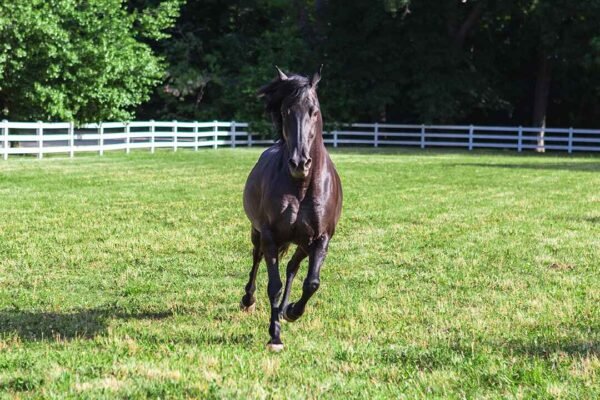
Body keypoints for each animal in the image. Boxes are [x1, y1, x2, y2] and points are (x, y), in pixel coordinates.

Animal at [240, 65, 342, 350]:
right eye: (286, 111)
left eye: (314, 110)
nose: (299, 163)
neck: (302, 186)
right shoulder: (270, 236)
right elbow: (272, 285)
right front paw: (275, 336)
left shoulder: (321, 239)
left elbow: (311, 283)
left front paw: (293, 311)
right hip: (258, 234)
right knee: (256, 260)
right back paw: (248, 300)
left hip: (303, 244)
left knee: (292, 269)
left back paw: (287, 309)